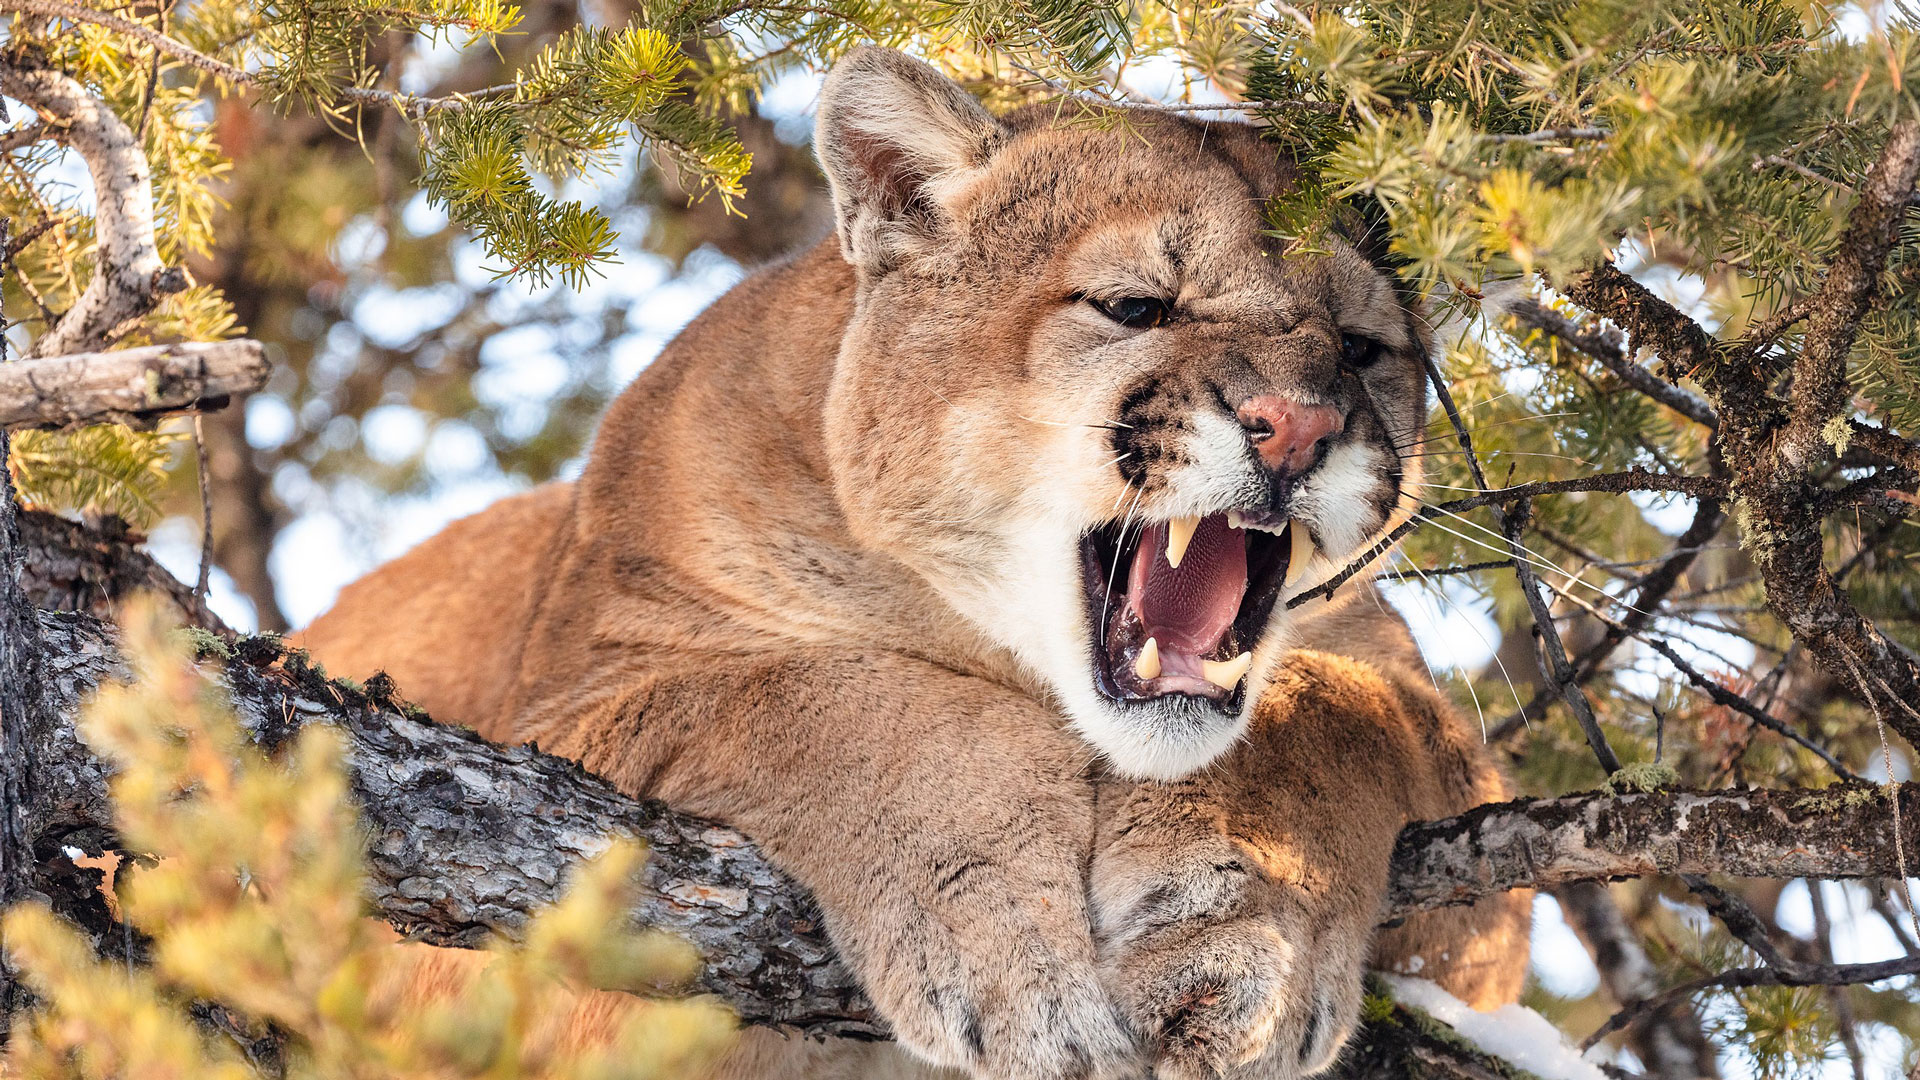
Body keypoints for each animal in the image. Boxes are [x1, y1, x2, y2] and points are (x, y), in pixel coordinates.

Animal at [300, 46, 1529, 1080]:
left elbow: (1333, 716)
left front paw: (1234, 944)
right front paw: (1001, 940)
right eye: (1136, 306)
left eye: (1363, 349)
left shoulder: (1463, 838)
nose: (1299, 427)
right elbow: (822, 696)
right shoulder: (559, 742)